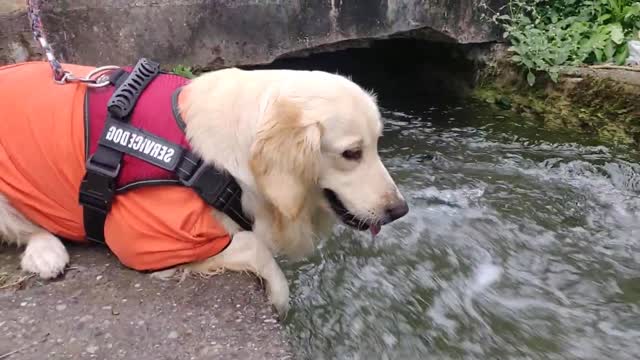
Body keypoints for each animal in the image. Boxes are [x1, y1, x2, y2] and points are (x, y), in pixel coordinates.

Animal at [0, 63, 410, 314]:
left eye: (377, 143)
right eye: (351, 153)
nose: (399, 210)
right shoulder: (147, 242)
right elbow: (254, 245)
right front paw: (280, 298)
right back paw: (46, 253)